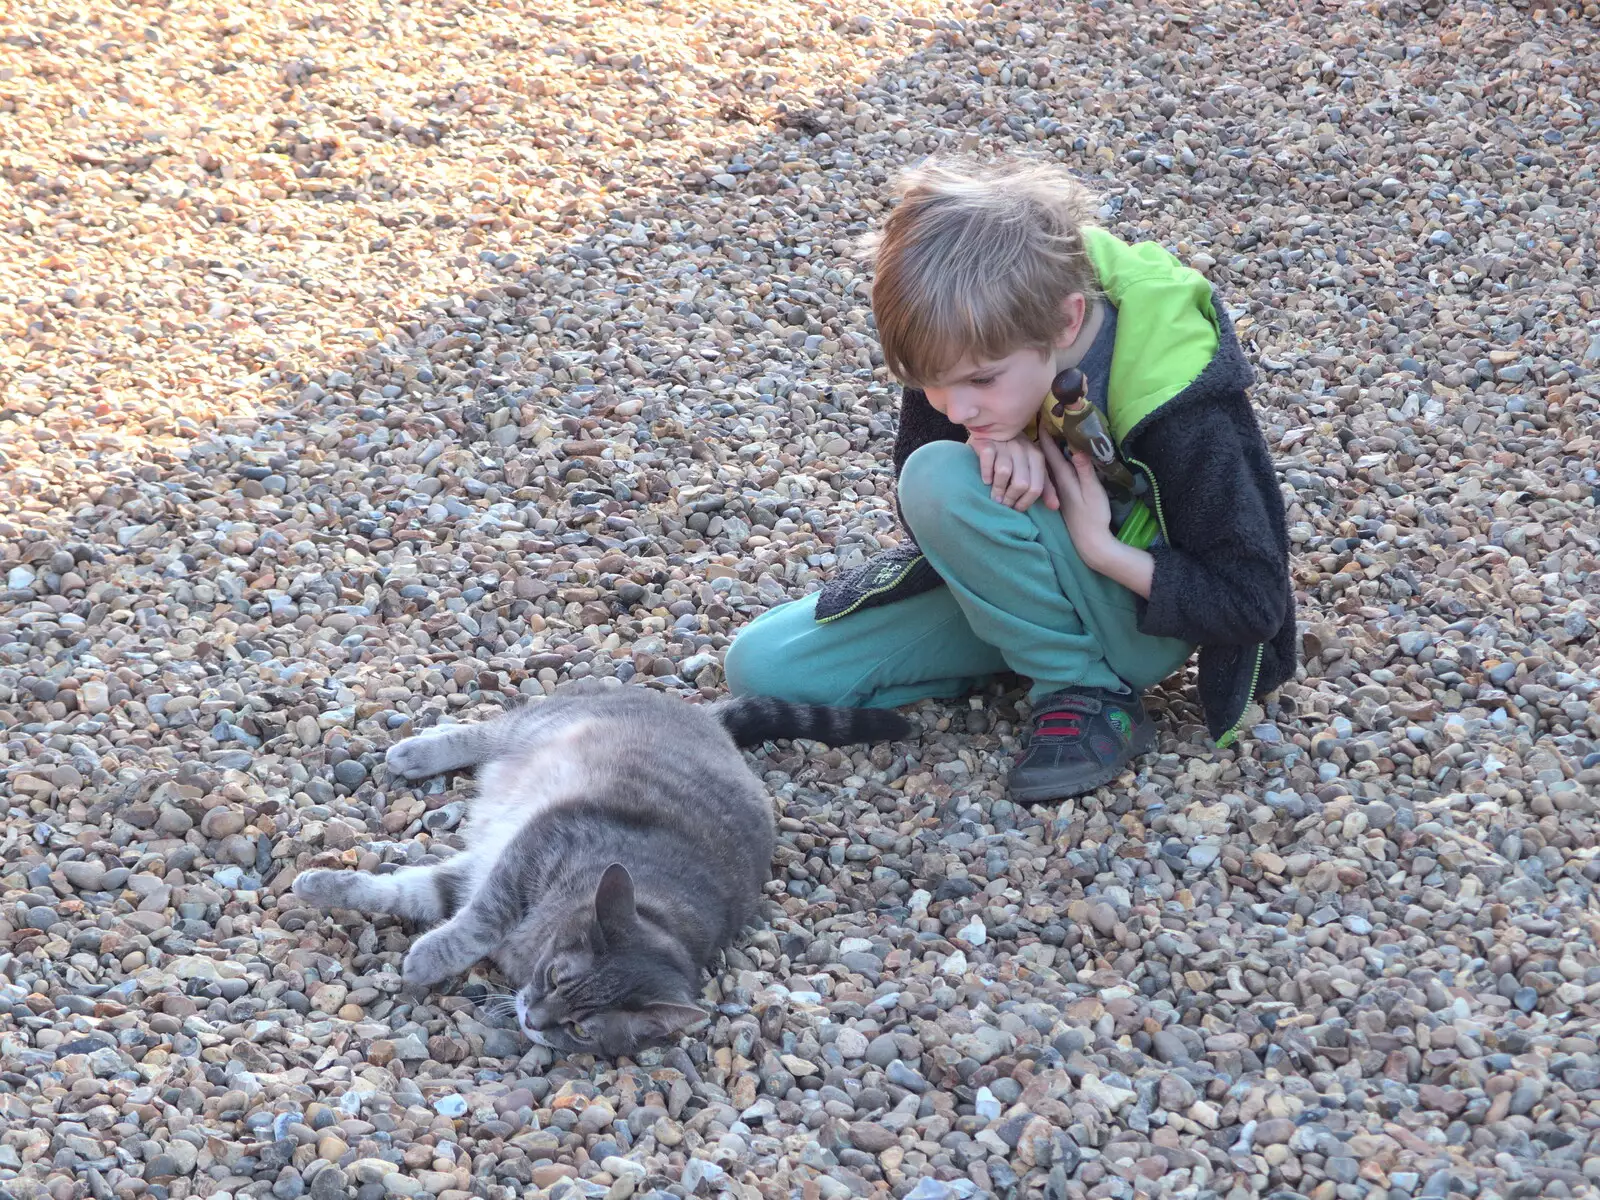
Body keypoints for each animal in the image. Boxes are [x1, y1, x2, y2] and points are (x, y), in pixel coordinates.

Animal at [292, 681, 908, 1056]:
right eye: (555, 977)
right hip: (542, 723)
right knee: (486, 731)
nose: (533, 1022)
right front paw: (422, 953)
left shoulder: (475, 877)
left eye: (581, 1030)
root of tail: (709, 721)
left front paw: (327, 885)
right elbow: (479, 920)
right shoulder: (534, 847)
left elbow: (409, 893)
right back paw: (416, 753)